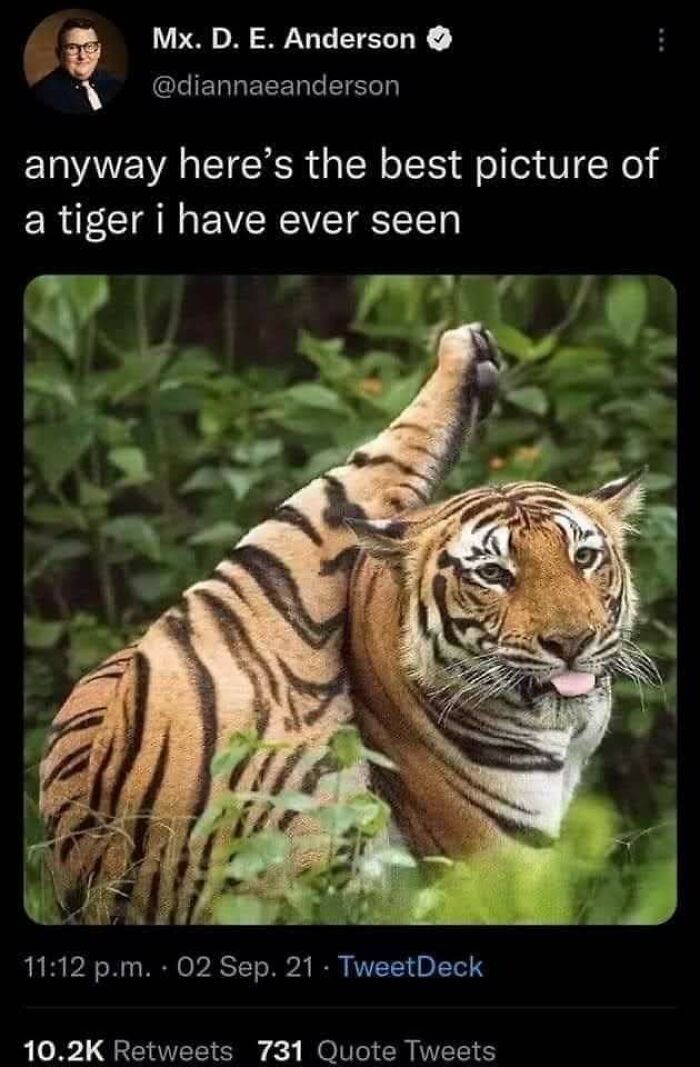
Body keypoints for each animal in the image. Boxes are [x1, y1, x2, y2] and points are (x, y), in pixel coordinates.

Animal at [38, 322, 647, 923]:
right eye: (494, 573)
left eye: (584, 558)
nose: (571, 642)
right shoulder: (498, 869)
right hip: (273, 575)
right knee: (356, 477)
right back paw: (463, 349)